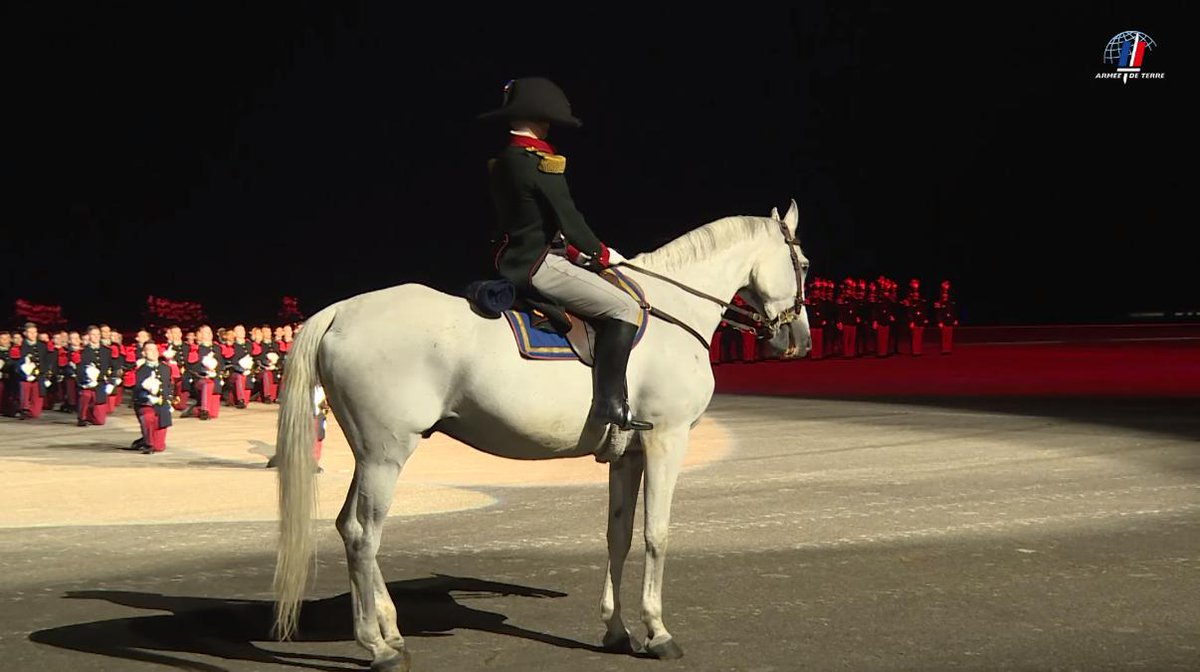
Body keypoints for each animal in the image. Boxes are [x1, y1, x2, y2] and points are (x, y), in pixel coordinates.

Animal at [276, 196, 811, 667]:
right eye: (803, 263)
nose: (799, 340)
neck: (671, 313)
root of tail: (341, 311)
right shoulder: (666, 439)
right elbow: (656, 534)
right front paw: (657, 633)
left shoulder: (629, 454)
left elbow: (619, 535)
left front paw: (616, 630)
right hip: (386, 454)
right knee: (364, 534)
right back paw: (377, 646)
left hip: (369, 454)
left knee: (349, 528)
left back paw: (390, 630)